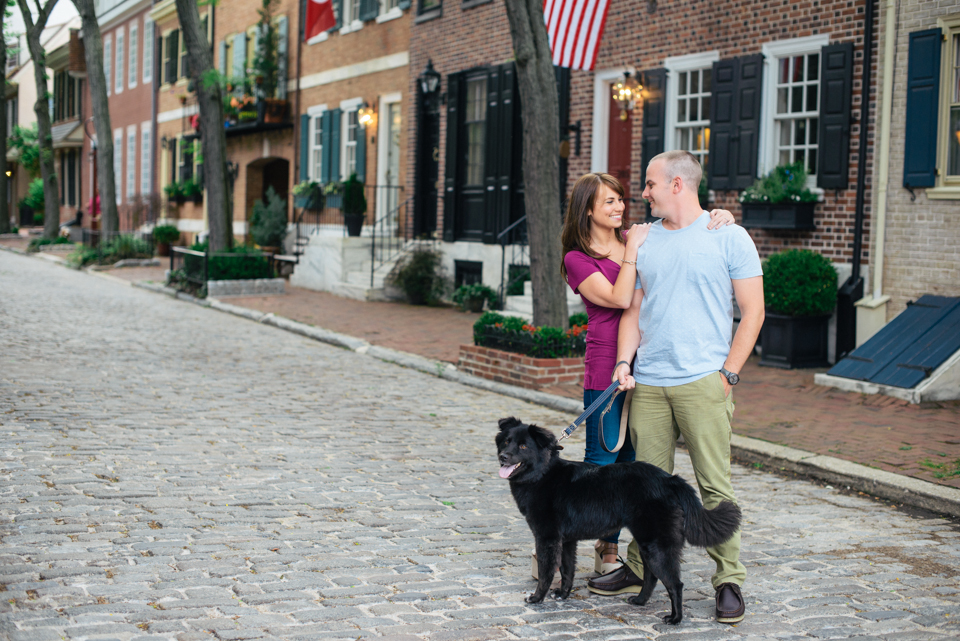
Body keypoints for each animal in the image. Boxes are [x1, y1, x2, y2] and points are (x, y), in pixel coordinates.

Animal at [498, 412, 740, 624]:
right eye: (506, 442)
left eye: (523, 446)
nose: (502, 457)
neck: (543, 474)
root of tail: (670, 480)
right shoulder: (566, 541)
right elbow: (567, 570)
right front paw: (563, 594)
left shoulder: (547, 539)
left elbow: (546, 572)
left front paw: (537, 598)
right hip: (647, 544)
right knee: (651, 576)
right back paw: (640, 601)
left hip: (657, 546)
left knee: (675, 583)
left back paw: (675, 619)